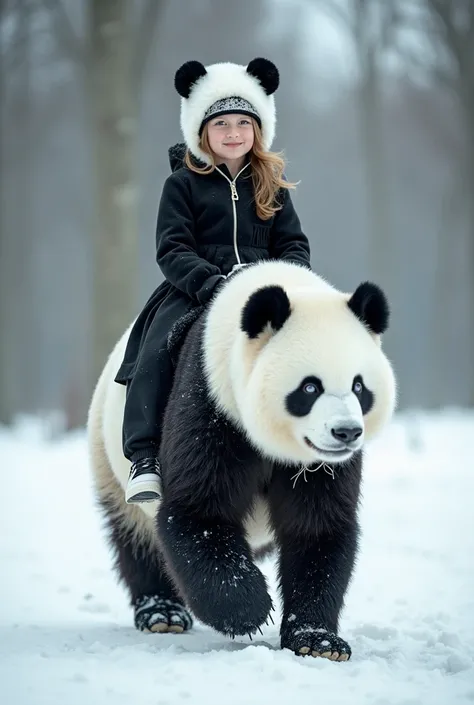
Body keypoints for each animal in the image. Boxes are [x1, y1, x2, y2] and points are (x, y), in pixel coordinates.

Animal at [86, 258, 396, 660]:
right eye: (310, 387)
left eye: (360, 386)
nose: (346, 432)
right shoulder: (212, 399)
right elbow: (198, 512)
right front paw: (248, 610)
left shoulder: (324, 464)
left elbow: (317, 527)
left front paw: (318, 641)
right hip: (108, 455)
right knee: (137, 536)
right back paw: (162, 612)